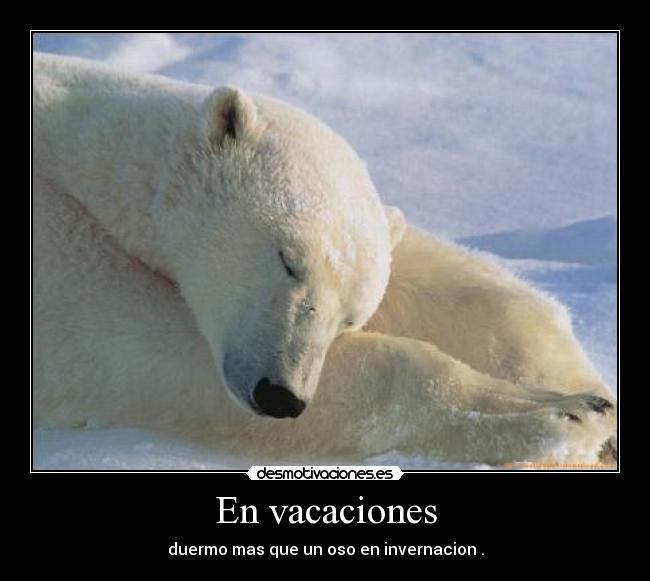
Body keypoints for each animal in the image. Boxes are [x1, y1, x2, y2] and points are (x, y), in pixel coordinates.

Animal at [33, 53, 616, 467]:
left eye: (351, 317)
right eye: (287, 260)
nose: (281, 396)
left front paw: (586, 392)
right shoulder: (53, 252)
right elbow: (133, 343)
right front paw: (561, 415)